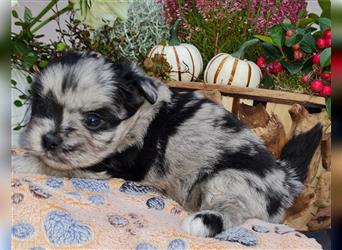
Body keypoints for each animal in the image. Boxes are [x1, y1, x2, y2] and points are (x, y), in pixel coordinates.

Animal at [14, 51, 324, 237]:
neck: (136, 116)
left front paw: (21, 161)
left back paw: (203, 221)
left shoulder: (107, 163)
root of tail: (284, 180)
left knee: (236, 212)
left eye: (93, 120)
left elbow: (52, 165)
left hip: (231, 179)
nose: (49, 139)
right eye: (42, 107)